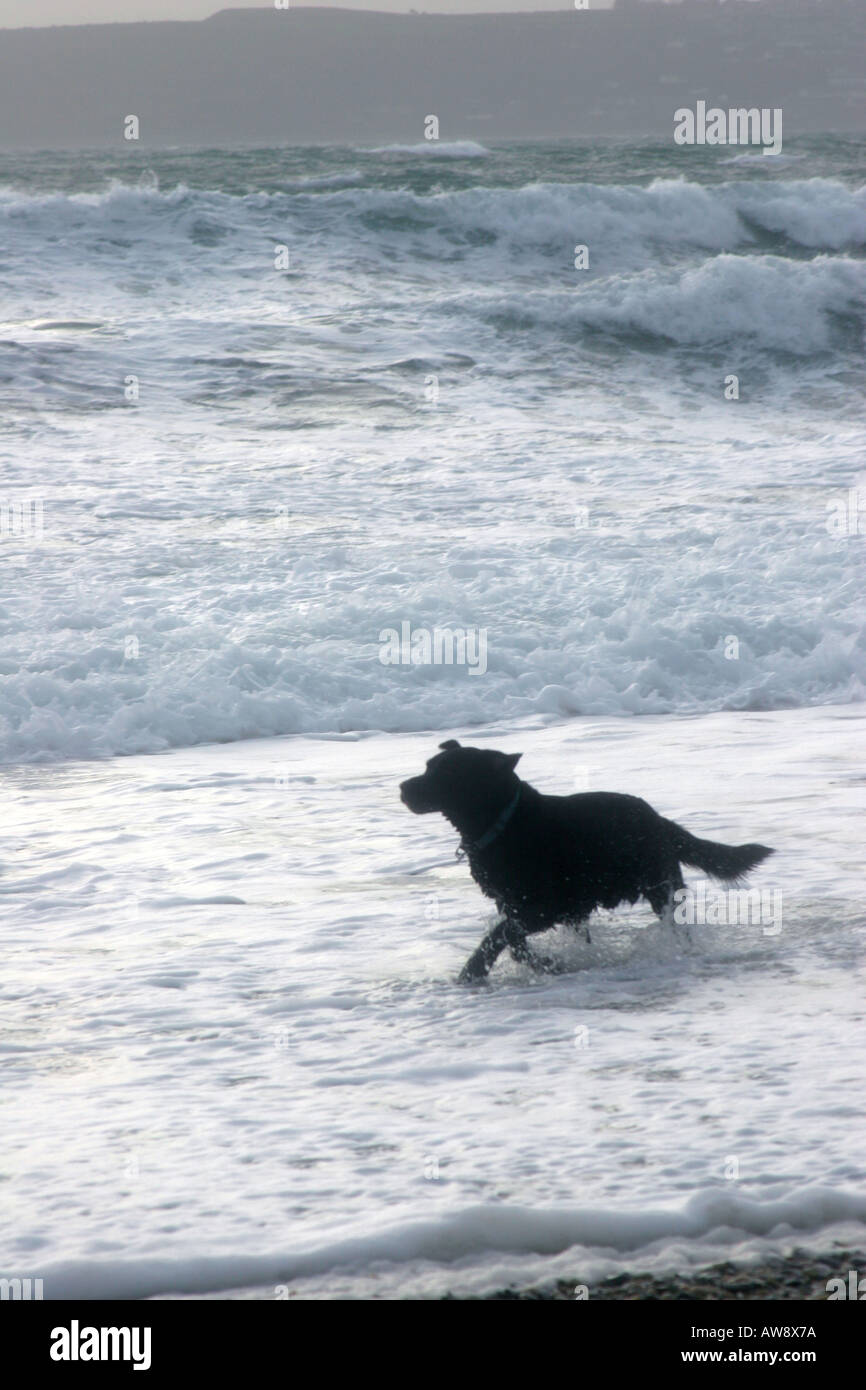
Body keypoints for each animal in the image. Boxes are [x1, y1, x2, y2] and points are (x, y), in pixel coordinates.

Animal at [400, 745, 772, 984]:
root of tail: (659, 819)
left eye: (446, 771)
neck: (504, 822)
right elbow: (514, 944)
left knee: (677, 926)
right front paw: (549, 964)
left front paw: (473, 971)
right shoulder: (518, 905)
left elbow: (499, 935)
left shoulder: (544, 908)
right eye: (428, 765)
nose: (402, 787)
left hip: (661, 888)